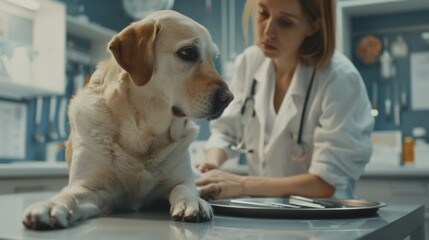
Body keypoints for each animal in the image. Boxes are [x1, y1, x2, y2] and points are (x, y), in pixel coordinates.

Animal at [22, 10, 232, 230]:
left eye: (213, 58)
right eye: (187, 52)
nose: (229, 98)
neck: (143, 131)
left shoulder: (183, 180)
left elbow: (183, 188)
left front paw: (193, 202)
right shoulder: (90, 187)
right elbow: (69, 196)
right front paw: (50, 206)